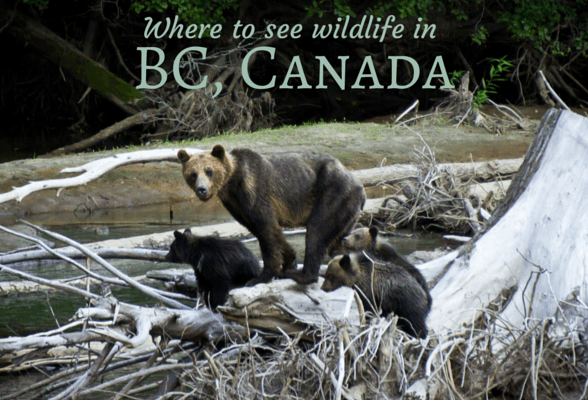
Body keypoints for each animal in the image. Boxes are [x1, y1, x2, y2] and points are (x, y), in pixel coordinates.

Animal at [177, 145, 366, 286]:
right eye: (193, 174)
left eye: (209, 171)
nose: (202, 189)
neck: (231, 184)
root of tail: (360, 187)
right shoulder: (236, 205)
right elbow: (268, 230)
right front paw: (289, 259)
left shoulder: (254, 190)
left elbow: (266, 229)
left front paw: (262, 276)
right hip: (346, 213)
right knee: (338, 242)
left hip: (333, 192)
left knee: (317, 230)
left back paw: (303, 274)